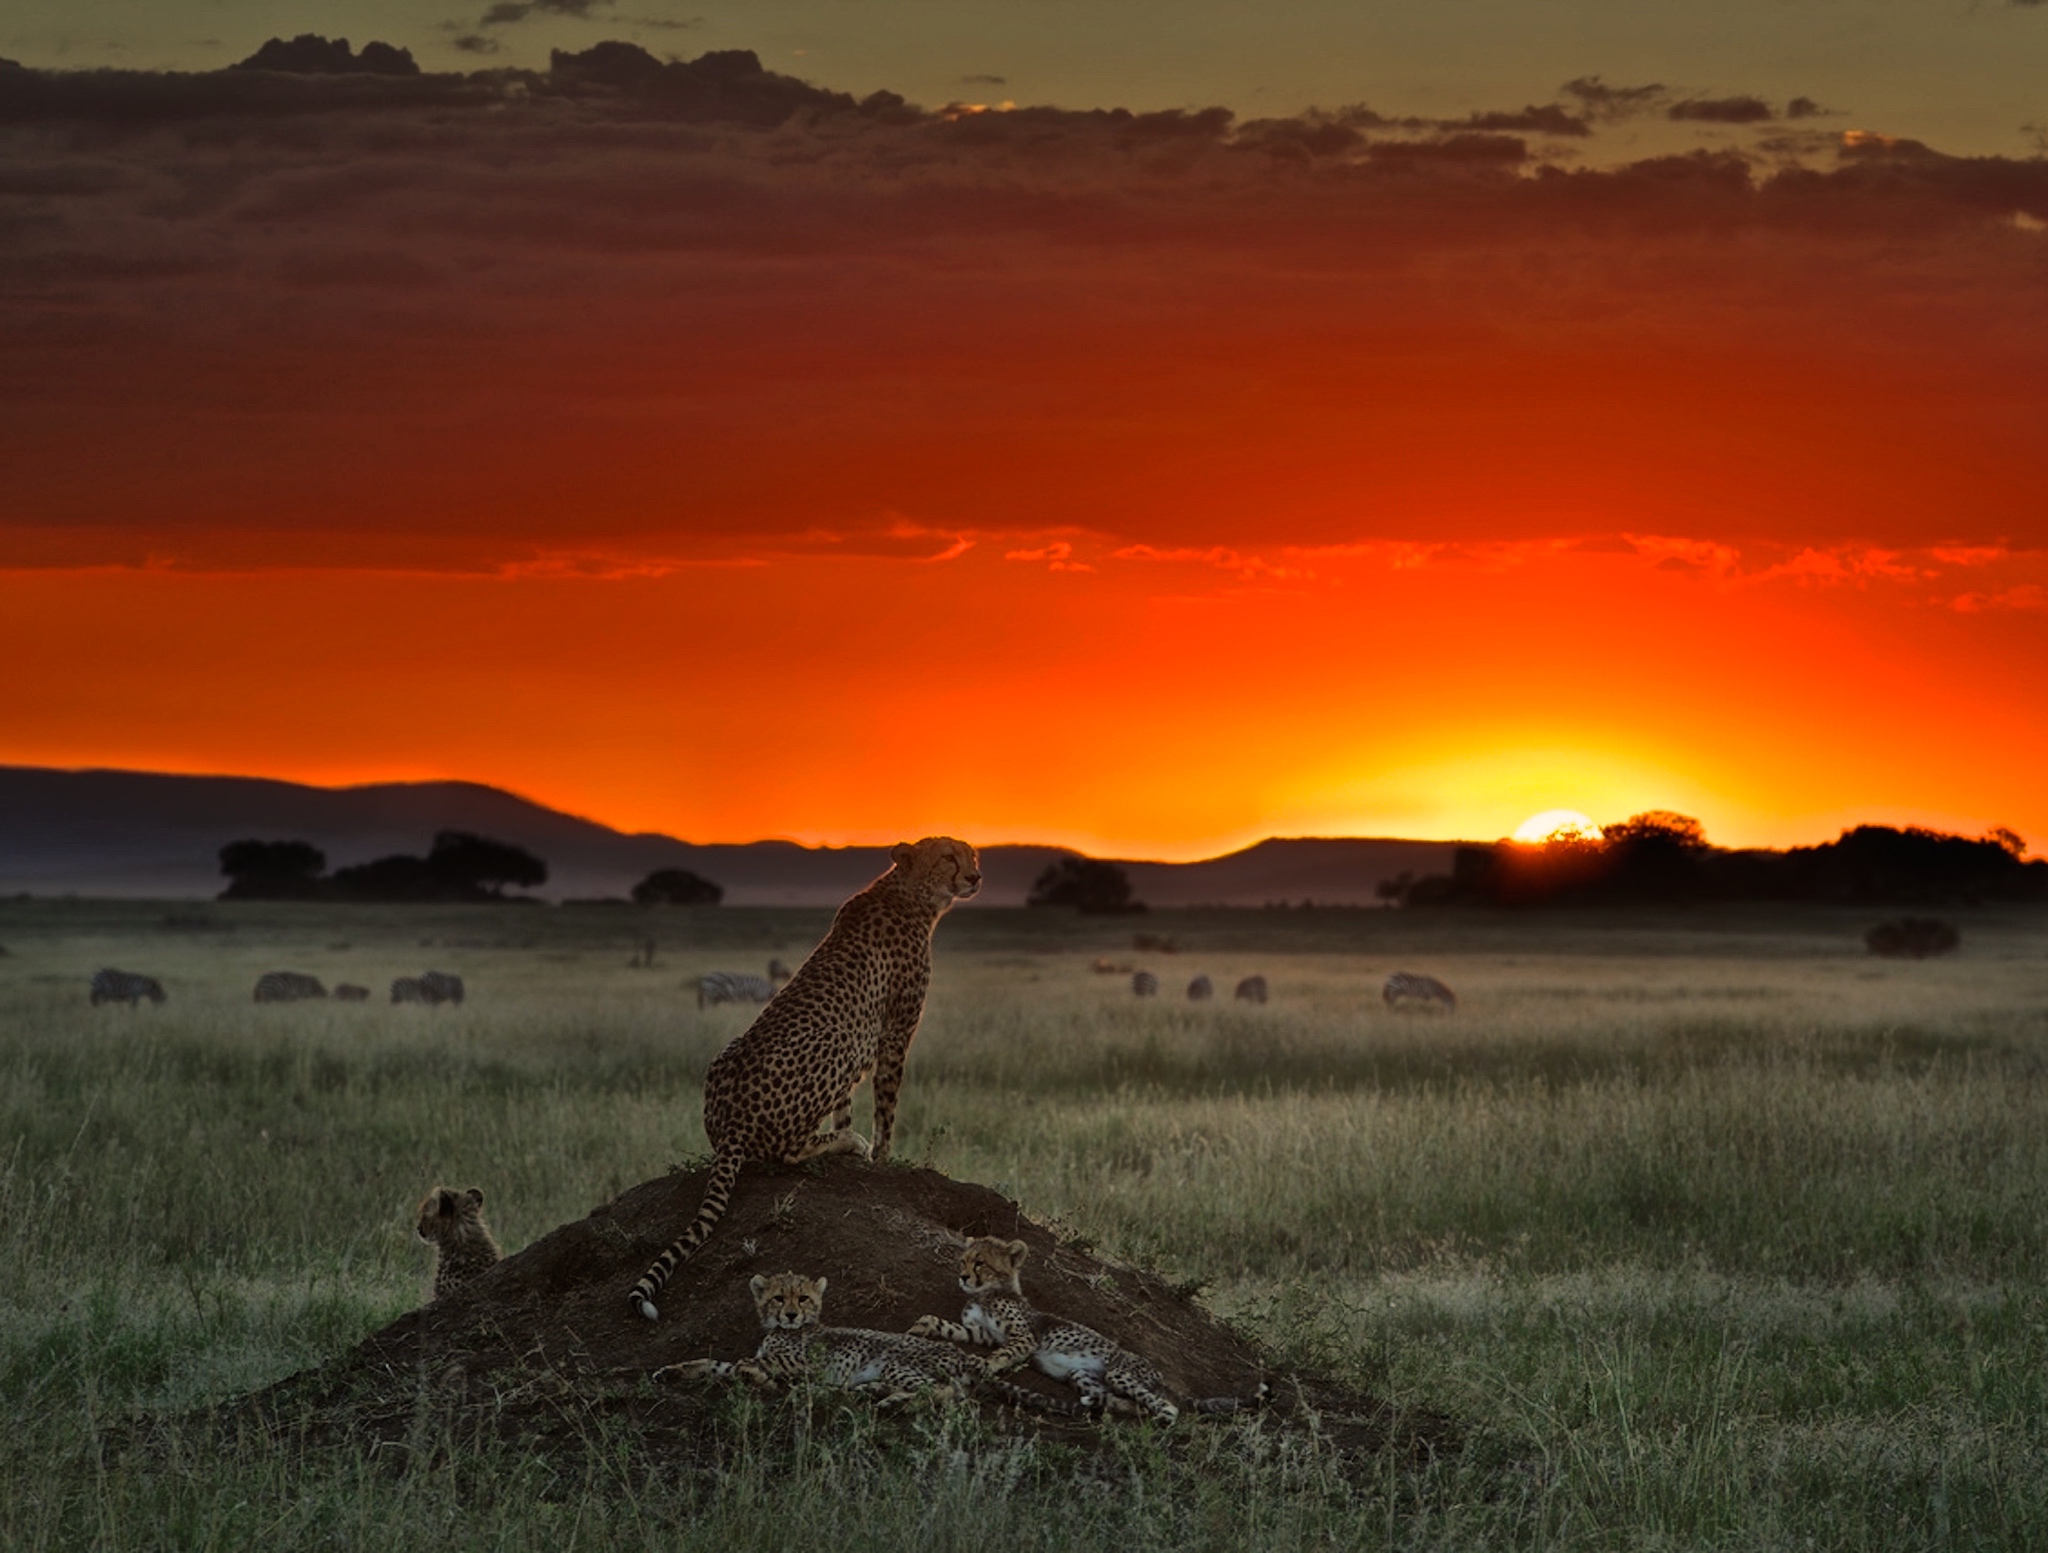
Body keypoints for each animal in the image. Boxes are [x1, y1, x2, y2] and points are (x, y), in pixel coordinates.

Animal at [630, 837, 981, 1321]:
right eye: (948, 857)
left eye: (972, 854)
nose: (975, 876)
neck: (910, 893)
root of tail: (730, 1125)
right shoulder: (893, 1034)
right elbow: (887, 1108)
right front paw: (882, 1157)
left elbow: (846, 1107)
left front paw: (852, 1144)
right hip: (837, 1040)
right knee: (786, 1151)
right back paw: (849, 1143)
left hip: (733, 1051)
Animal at [654, 1271, 1092, 1415]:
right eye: (779, 1298)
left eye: (803, 1298)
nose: (792, 1315)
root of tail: (963, 1354)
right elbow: (712, 1364)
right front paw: (670, 1371)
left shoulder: (807, 1364)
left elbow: (759, 1366)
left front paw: (758, 1377)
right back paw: (879, 1395)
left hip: (897, 1361)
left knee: (949, 1394)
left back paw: (894, 1403)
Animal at [911, 1236, 1269, 1426]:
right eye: (963, 1260)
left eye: (980, 1263)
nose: (962, 1277)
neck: (987, 1293)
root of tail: (1160, 1375)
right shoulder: (982, 1333)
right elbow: (947, 1326)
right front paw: (920, 1326)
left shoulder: (1023, 1338)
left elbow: (1001, 1353)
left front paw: (985, 1364)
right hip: (1083, 1376)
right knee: (1120, 1400)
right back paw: (1104, 1408)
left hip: (1120, 1371)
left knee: (1163, 1403)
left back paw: (1163, 1415)